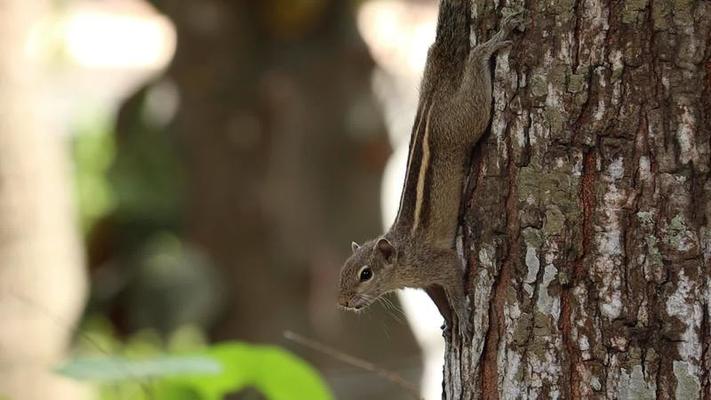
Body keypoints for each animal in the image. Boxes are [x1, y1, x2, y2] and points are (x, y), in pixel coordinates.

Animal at [336, 0, 524, 338]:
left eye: (365, 273)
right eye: (344, 269)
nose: (343, 301)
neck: (401, 260)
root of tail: (434, 92)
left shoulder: (438, 263)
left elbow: (453, 285)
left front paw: (462, 316)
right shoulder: (426, 283)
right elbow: (439, 300)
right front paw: (448, 321)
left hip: (465, 119)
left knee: (475, 72)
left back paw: (490, 45)